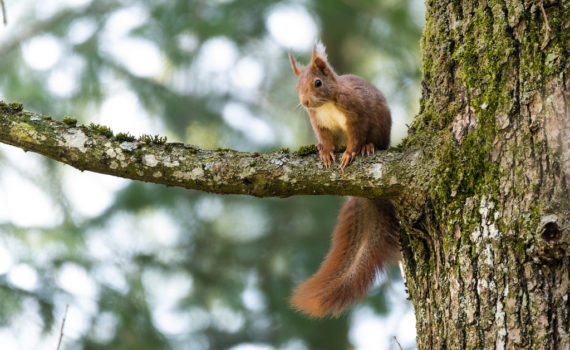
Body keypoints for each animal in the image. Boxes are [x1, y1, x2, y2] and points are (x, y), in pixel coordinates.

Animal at [288, 43, 400, 318]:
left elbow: (357, 136)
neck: (326, 105)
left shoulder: (356, 113)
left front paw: (350, 153)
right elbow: (326, 139)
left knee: (372, 140)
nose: (305, 102)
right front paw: (326, 152)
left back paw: (369, 148)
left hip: (380, 128)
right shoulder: (320, 123)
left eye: (318, 82)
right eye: (297, 86)